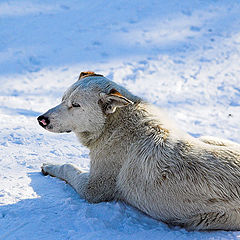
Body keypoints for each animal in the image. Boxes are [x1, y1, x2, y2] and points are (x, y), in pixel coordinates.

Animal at [37, 71, 240, 231]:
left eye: (76, 105)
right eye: (62, 100)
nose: (41, 119)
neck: (113, 125)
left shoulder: (92, 190)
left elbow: (68, 167)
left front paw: (50, 166)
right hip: (208, 137)